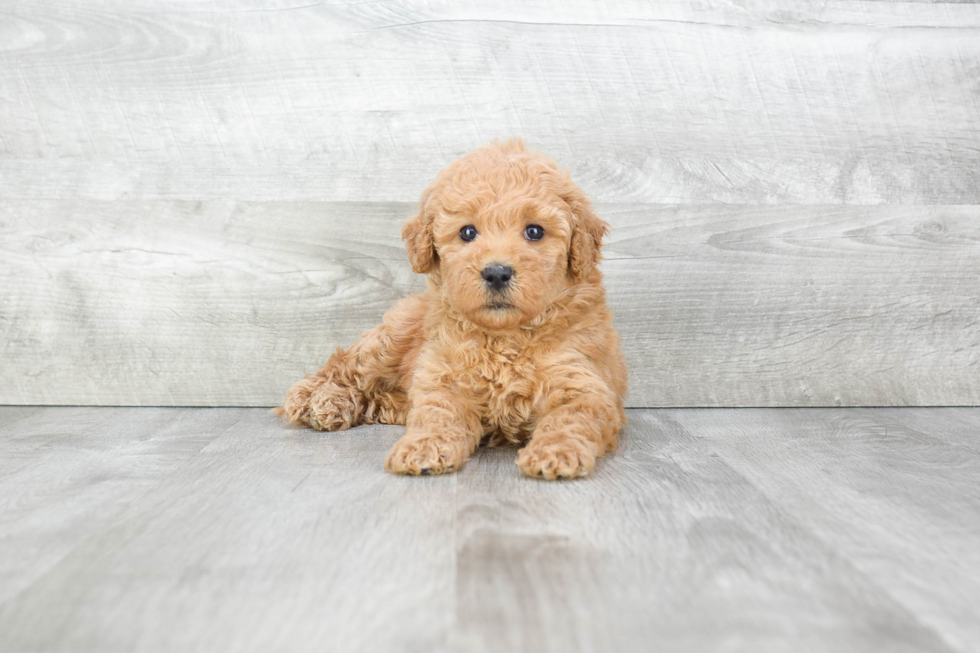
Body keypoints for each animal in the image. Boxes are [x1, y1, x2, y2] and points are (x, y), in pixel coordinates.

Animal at [276, 139, 628, 478]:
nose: (496, 272)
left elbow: (570, 419)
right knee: (345, 365)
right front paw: (424, 447)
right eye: (468, 232)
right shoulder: (444, 378)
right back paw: (316, 399)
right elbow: (437, 414)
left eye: (535, 231)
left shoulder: (582, 383)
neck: (505, 337)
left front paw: (554, 453)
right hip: (391, 338)